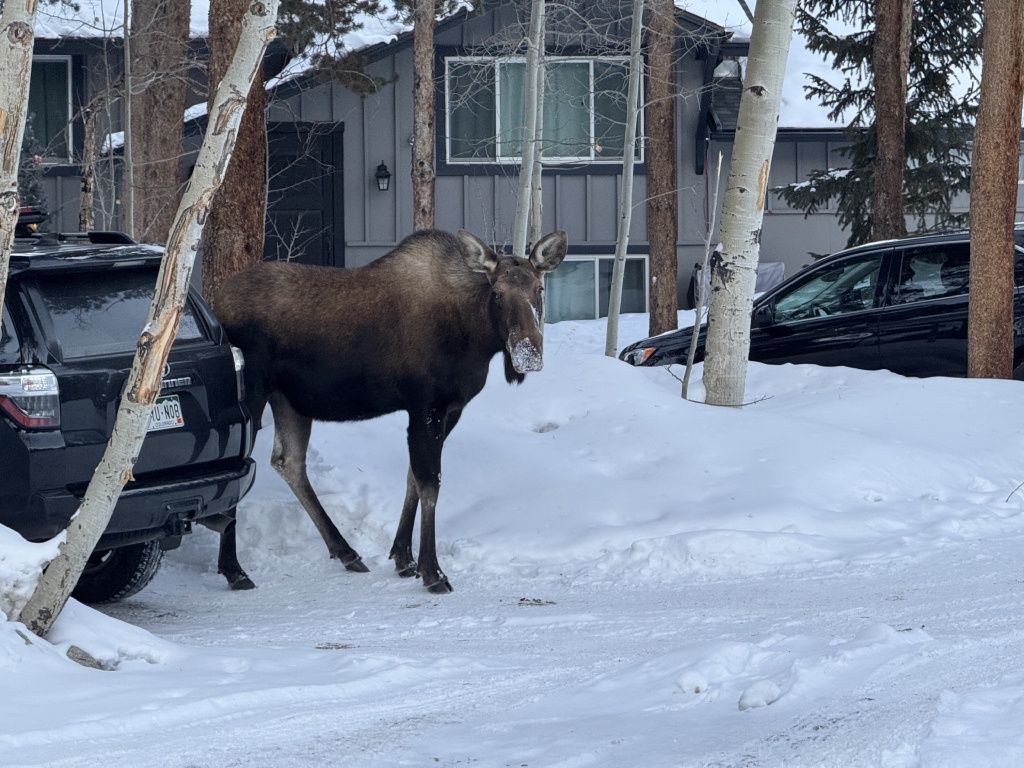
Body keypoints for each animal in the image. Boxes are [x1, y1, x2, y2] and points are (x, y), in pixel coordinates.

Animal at [211, 228, 568, 594]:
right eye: (496, 293)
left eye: (539, 289)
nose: (528, 354)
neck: (476, 337)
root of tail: (215, 303)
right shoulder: (426, 405)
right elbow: (429, 482)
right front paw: (432, 571)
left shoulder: (448, 409)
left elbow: (413, 477)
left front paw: (403, 558)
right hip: (253, 394)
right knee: (244, 466)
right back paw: (234, 569)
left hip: (289, 400)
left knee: (288, 461)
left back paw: (346, 552)